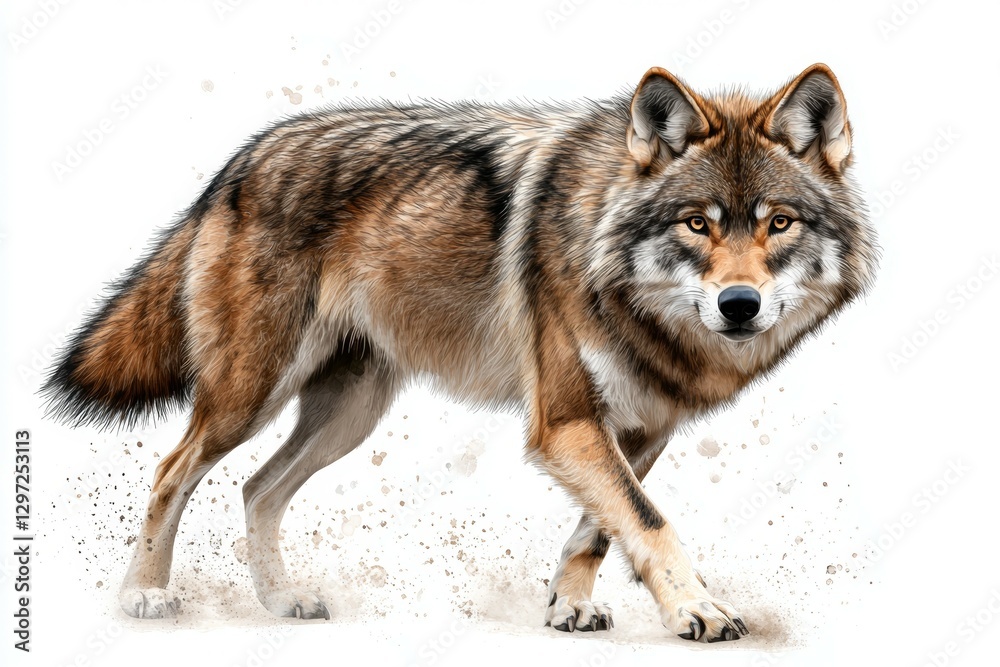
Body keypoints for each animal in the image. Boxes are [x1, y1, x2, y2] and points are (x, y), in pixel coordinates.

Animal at [44, 63, 877, 642]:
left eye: (778, 223)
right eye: (697, 224)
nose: (740, 305)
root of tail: (240, 160)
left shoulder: (640, 428)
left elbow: (600, 529)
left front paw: (568, 607)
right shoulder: (567, 421)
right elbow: (651, 523)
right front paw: (698, 610)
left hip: (347, 415)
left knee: (257, 488)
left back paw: (282, 599)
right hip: (250, 394)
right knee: (172, 470)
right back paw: (146, 593)